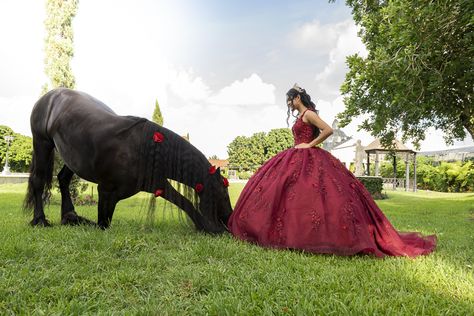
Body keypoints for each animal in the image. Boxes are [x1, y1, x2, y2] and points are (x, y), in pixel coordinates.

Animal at [24, 87, 233, 233]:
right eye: (223, 194)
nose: (230, 219)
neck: (142, 150)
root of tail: (51, 95)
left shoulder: (156, 184)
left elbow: (183, 202)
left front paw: (209, 228)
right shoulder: (106, 191)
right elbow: (102, 225)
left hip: (71, 158)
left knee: (63, 179)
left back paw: (69, 215)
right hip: (42, 142)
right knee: (38, 181)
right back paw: (40, 220)